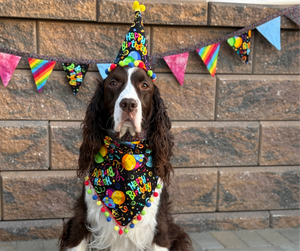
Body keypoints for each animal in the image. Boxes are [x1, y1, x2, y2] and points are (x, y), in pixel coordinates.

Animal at [59, 66, 192, 251]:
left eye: (144, 85)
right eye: (113, 83)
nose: (128, 103)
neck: (127, 151)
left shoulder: (160, 227)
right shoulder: (80, 221)